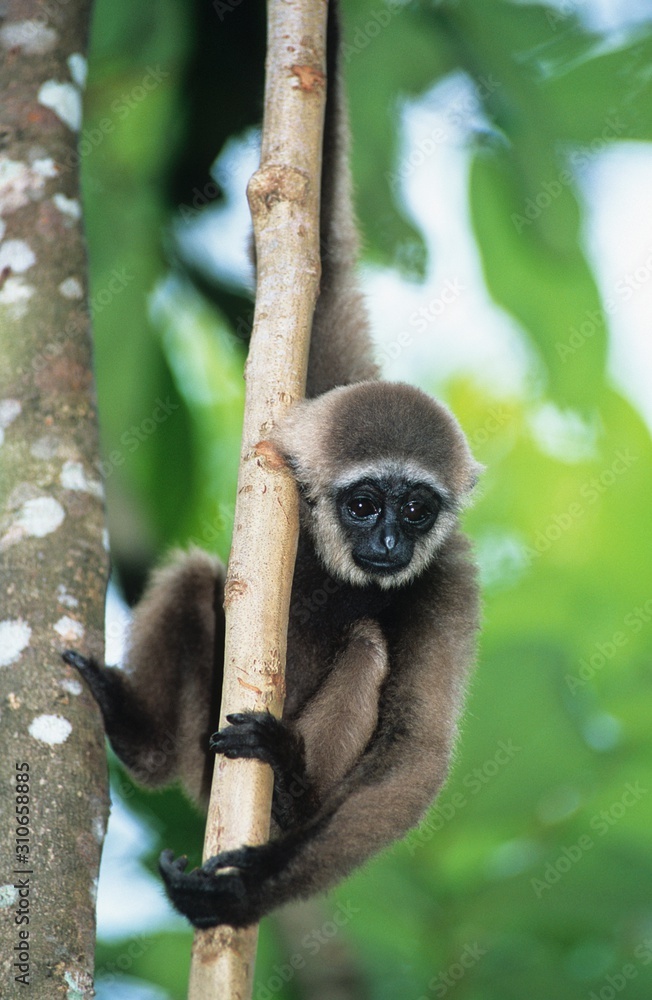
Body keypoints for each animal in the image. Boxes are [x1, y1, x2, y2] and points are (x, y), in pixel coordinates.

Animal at [65, 0, 481, 930]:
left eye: (417, 509)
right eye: (365, 504)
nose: (390, 545)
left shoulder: (452, 579)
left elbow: (416, 756)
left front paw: (247, 888)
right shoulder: (315, 399)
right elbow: (314, 244)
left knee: (367, 642)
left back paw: (288, 786)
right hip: (196, 751)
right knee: (195, 578)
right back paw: (142, 739)